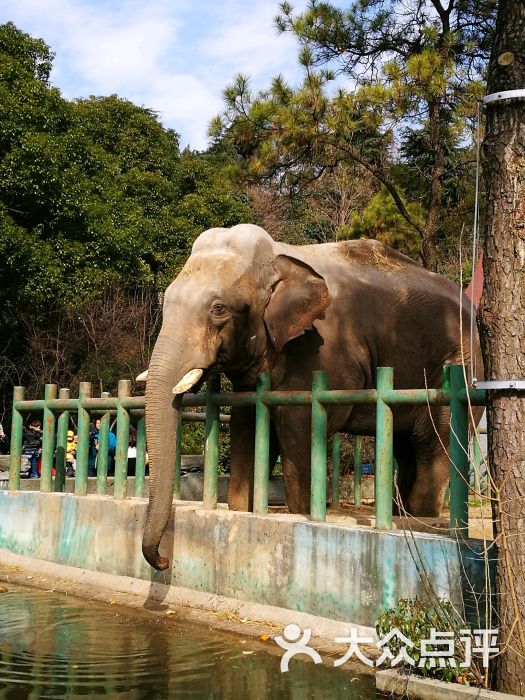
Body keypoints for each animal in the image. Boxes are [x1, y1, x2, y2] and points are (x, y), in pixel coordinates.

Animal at [140, 224, 484, 568]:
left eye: (218, 309)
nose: (165, 561)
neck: (280, 257)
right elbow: (247, 427)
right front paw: (242, 509)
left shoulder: (321, 352)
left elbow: (296, 427)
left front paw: (301, 512)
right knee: (406, 447)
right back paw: (404, 514)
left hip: (458, 369)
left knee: (433, 444)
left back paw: (423, 519)